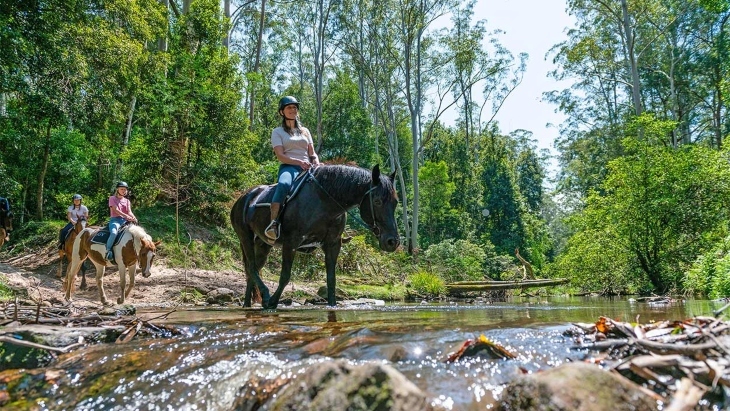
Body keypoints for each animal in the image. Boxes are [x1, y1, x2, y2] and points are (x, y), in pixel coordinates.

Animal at [230, 164, 398, 308]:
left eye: (395, 202)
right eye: (377, 201)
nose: (392, 242)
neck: (324, 202)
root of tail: (244, 197)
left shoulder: (332, 244)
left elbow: (331, 280)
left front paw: (332, 305)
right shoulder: (291, 243)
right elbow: (285, 276)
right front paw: (272, 302)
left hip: (263, 244)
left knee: (253, 271)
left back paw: (247, 304)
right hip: (245, 237)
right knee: (252, 267)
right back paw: (265, 296)